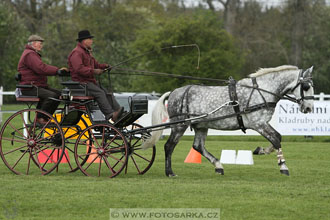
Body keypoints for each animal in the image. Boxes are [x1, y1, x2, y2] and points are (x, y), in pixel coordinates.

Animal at [144, 65, 314, 177]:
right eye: (306, 86)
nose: (309, 108)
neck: (262, 91)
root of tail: (174, 92)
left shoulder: (261, 124)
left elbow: (276, 139)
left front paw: (260, 150)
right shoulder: (259, 124)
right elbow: (277, 138)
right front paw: (283, 166)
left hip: (201, 125)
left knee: (198, 146)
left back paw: (219, 166)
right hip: (179, 125)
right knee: (169, 146)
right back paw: (170, 172)